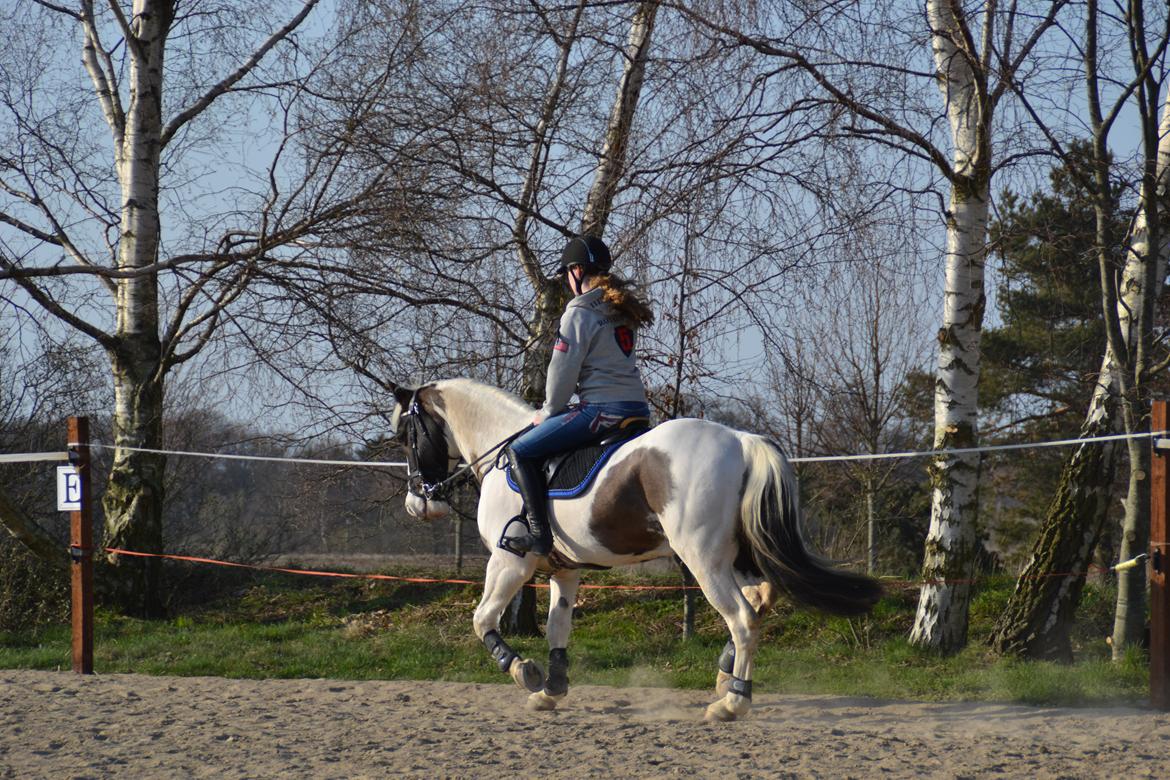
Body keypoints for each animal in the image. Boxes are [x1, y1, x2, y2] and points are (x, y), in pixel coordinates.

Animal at [388, 376, 879, 720]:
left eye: (406, 436)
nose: (417, 504)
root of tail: (741, 439)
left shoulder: (510, 563)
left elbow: (482, 619)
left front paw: (523, 672)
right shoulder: (564, 570)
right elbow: (557, 629)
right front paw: (551, 690)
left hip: (703, 560)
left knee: (742, 618)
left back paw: (732, 703)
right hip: (734, 559)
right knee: (759, 602)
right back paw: (725, 679)